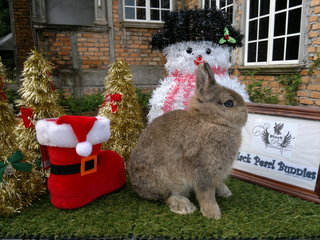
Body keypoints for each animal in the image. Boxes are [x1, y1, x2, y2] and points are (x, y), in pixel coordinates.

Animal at [127, 62, 248, 219]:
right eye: (228, 103)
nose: (246, 114)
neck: (210, 120)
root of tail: (137, 187)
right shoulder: (205, 170)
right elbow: (206, 194)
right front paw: (213, 214)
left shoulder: (218, 172)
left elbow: (219, 184)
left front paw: (226, 193)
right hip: (167, 181)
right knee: (167, 197)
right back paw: (184, 206)